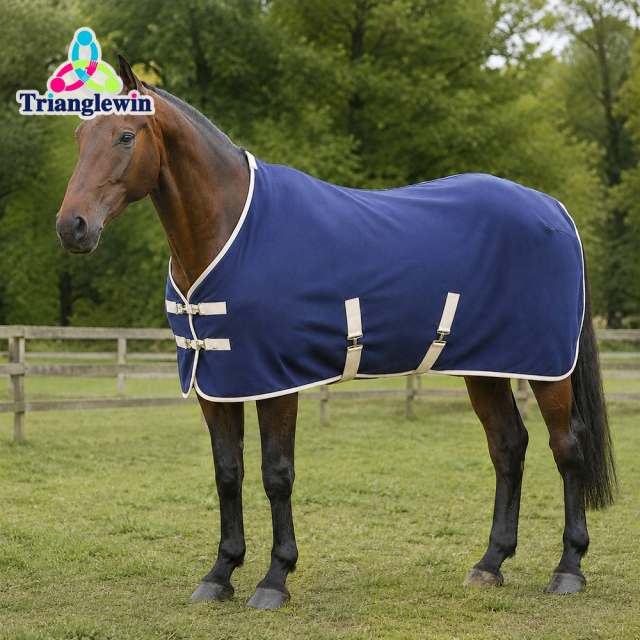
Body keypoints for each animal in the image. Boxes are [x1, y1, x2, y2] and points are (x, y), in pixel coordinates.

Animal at [55, 56, 616, 610]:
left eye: (126, 135)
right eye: (80, 134)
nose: (71, 227)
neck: (229, 230)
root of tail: (554, 210)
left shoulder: (275, 380)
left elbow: (276, 474)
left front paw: (274, 578)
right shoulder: (214, 380)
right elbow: (227, 473)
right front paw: (220, 574)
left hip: (547, 368)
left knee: (567, 447)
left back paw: (568, 568)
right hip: (485, 366)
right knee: (508, 447)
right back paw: (490, 564)